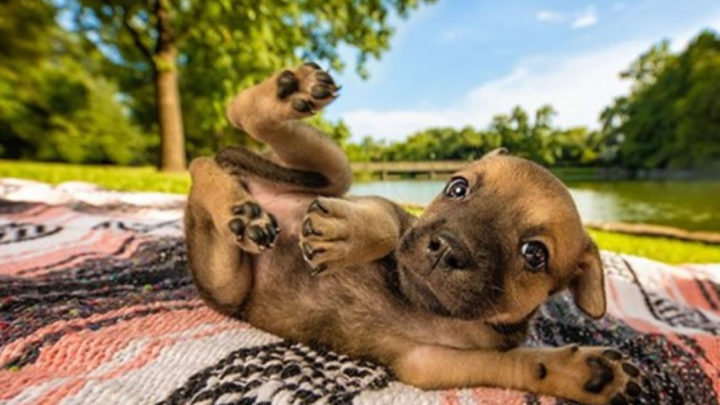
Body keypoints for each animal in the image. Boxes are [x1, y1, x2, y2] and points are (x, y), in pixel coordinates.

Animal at [184, 64, 640, 404]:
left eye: (534, 254)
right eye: (456, 188)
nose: (446, 249)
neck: (427, 307)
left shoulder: (430, 362)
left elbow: (522, 364)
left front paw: (584, 374)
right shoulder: (394, 215)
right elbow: (388, 227)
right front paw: (344, 235)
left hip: (233, 274)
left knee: (205, 164)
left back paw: (240, 206)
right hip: (330, 179)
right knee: (225, 133)